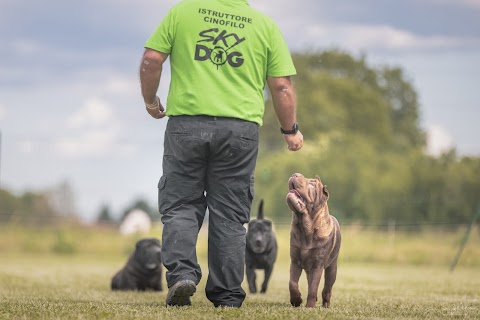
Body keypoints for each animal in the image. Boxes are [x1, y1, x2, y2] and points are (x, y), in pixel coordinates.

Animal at [284, 174, 342, 308]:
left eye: (312, 184)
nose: (295, 174)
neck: (305, 227)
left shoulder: (317, 264)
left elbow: (313, 287)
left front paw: (310, 307)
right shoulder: (295, 261)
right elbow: (292, 283)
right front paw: (296, 301)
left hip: (332, 268)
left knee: (327, 288)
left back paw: (325, 305)